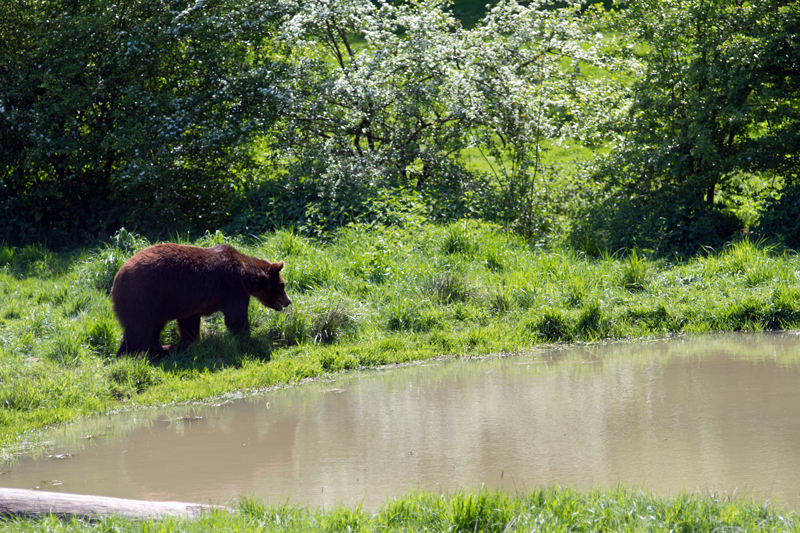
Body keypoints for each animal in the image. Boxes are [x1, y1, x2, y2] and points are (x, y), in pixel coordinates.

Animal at [109, 242, 290, 358]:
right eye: (282, 285)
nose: (288, 301)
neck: (248, 277)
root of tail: (116, 278)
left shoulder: (189, 302)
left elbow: (189, 323)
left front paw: (187, 344)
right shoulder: (231, 285)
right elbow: (236, 316)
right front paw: (248, 339)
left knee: (153, 327)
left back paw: (163, 348)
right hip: (143, 295)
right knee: (139, 327)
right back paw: (127, 355)